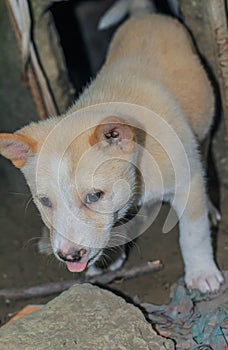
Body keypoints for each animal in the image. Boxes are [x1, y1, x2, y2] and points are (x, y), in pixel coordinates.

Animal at [0, 1, 224, 292]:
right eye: (45, 201)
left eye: (95, 196)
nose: (69, 256)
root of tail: (144, 15)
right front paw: (110, 259)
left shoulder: (188, 179)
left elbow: (193, 233)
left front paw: (201, 272)